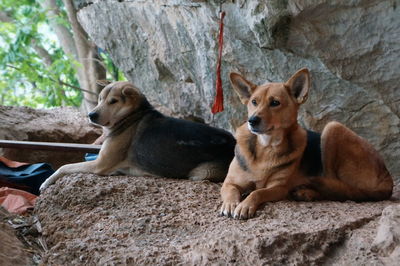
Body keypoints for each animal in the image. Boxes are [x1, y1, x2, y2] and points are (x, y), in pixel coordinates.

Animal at [39, 81, 236, 191]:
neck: (131, 116)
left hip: (201, 173)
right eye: (100, 99)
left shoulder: (99, 165)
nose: (91, 115)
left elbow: (64, 166)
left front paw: (46, 182)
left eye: (113, 101)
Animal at [220, 67, 396, 219]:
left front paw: (245, 205)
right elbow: (230, 191)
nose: (252, 120)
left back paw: (307, 192)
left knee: (337, 189)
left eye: (275, 103)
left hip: (333, 128)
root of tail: (387, 176)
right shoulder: (230, 182)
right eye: (254, 102)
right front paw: (230, 204)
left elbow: (257, 192)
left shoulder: (278, 188)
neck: (265, 146)